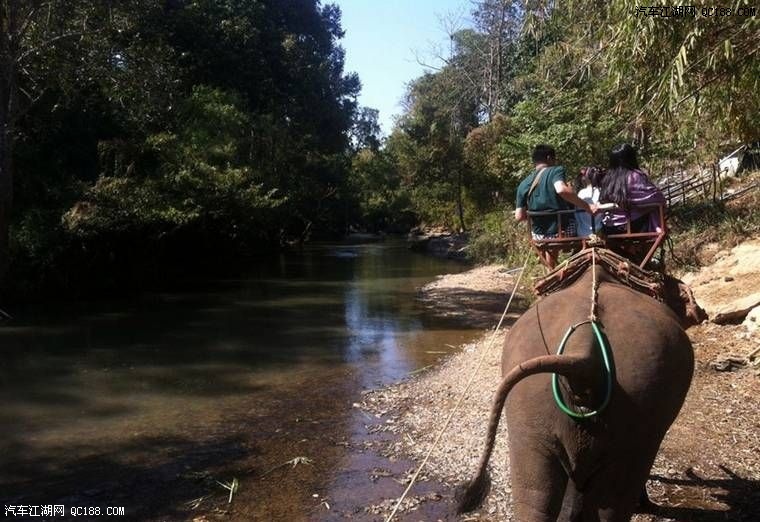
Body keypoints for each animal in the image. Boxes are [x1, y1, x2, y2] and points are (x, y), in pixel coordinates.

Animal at [460, 258, 696, 516]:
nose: (699, 312)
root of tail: (584, 352)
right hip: (640, 405)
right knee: (614, 501)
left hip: (529, 410)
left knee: (535, 498)